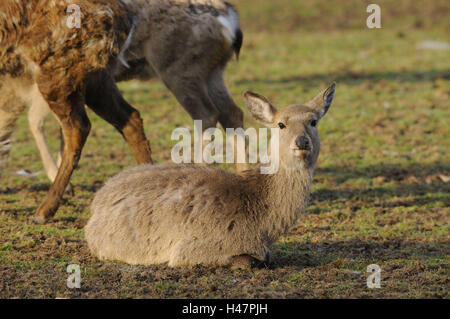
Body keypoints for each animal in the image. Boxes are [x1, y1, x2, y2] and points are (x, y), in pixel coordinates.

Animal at [86, 82, 336, 268]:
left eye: (313, 121)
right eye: (281, 124)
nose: (302, 141)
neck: (262, 228)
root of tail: (95, 203)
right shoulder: (191, 248)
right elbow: (248, 261)